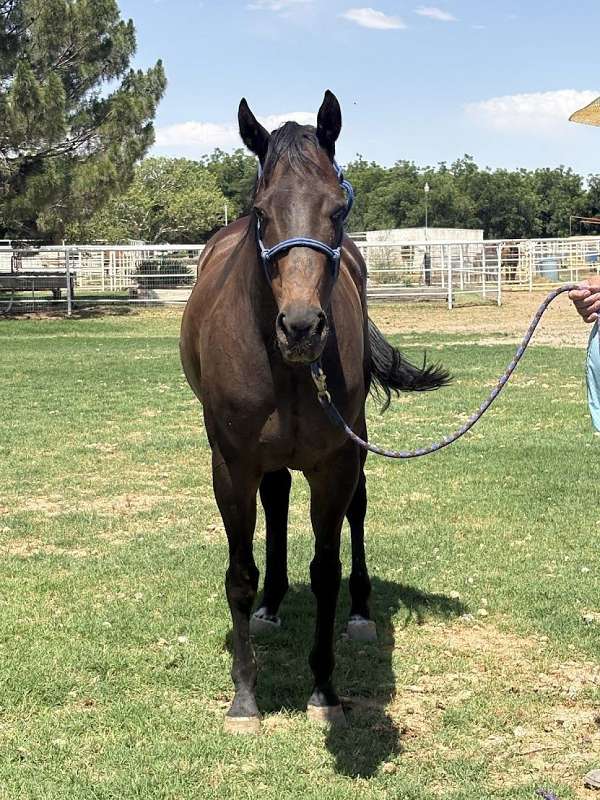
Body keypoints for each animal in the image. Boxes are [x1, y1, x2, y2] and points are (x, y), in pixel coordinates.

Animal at [180, 90, 449, 733]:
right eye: (261, 213)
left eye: (338, 210)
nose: (301, 327)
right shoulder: (231, 464)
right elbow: (240, 574)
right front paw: (244, 698)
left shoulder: (335, 462)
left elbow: (326, 570)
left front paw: (324, 690)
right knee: (276, 502)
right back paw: (272, 605)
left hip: (356, 444)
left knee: (358, 511)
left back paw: (360, 613)